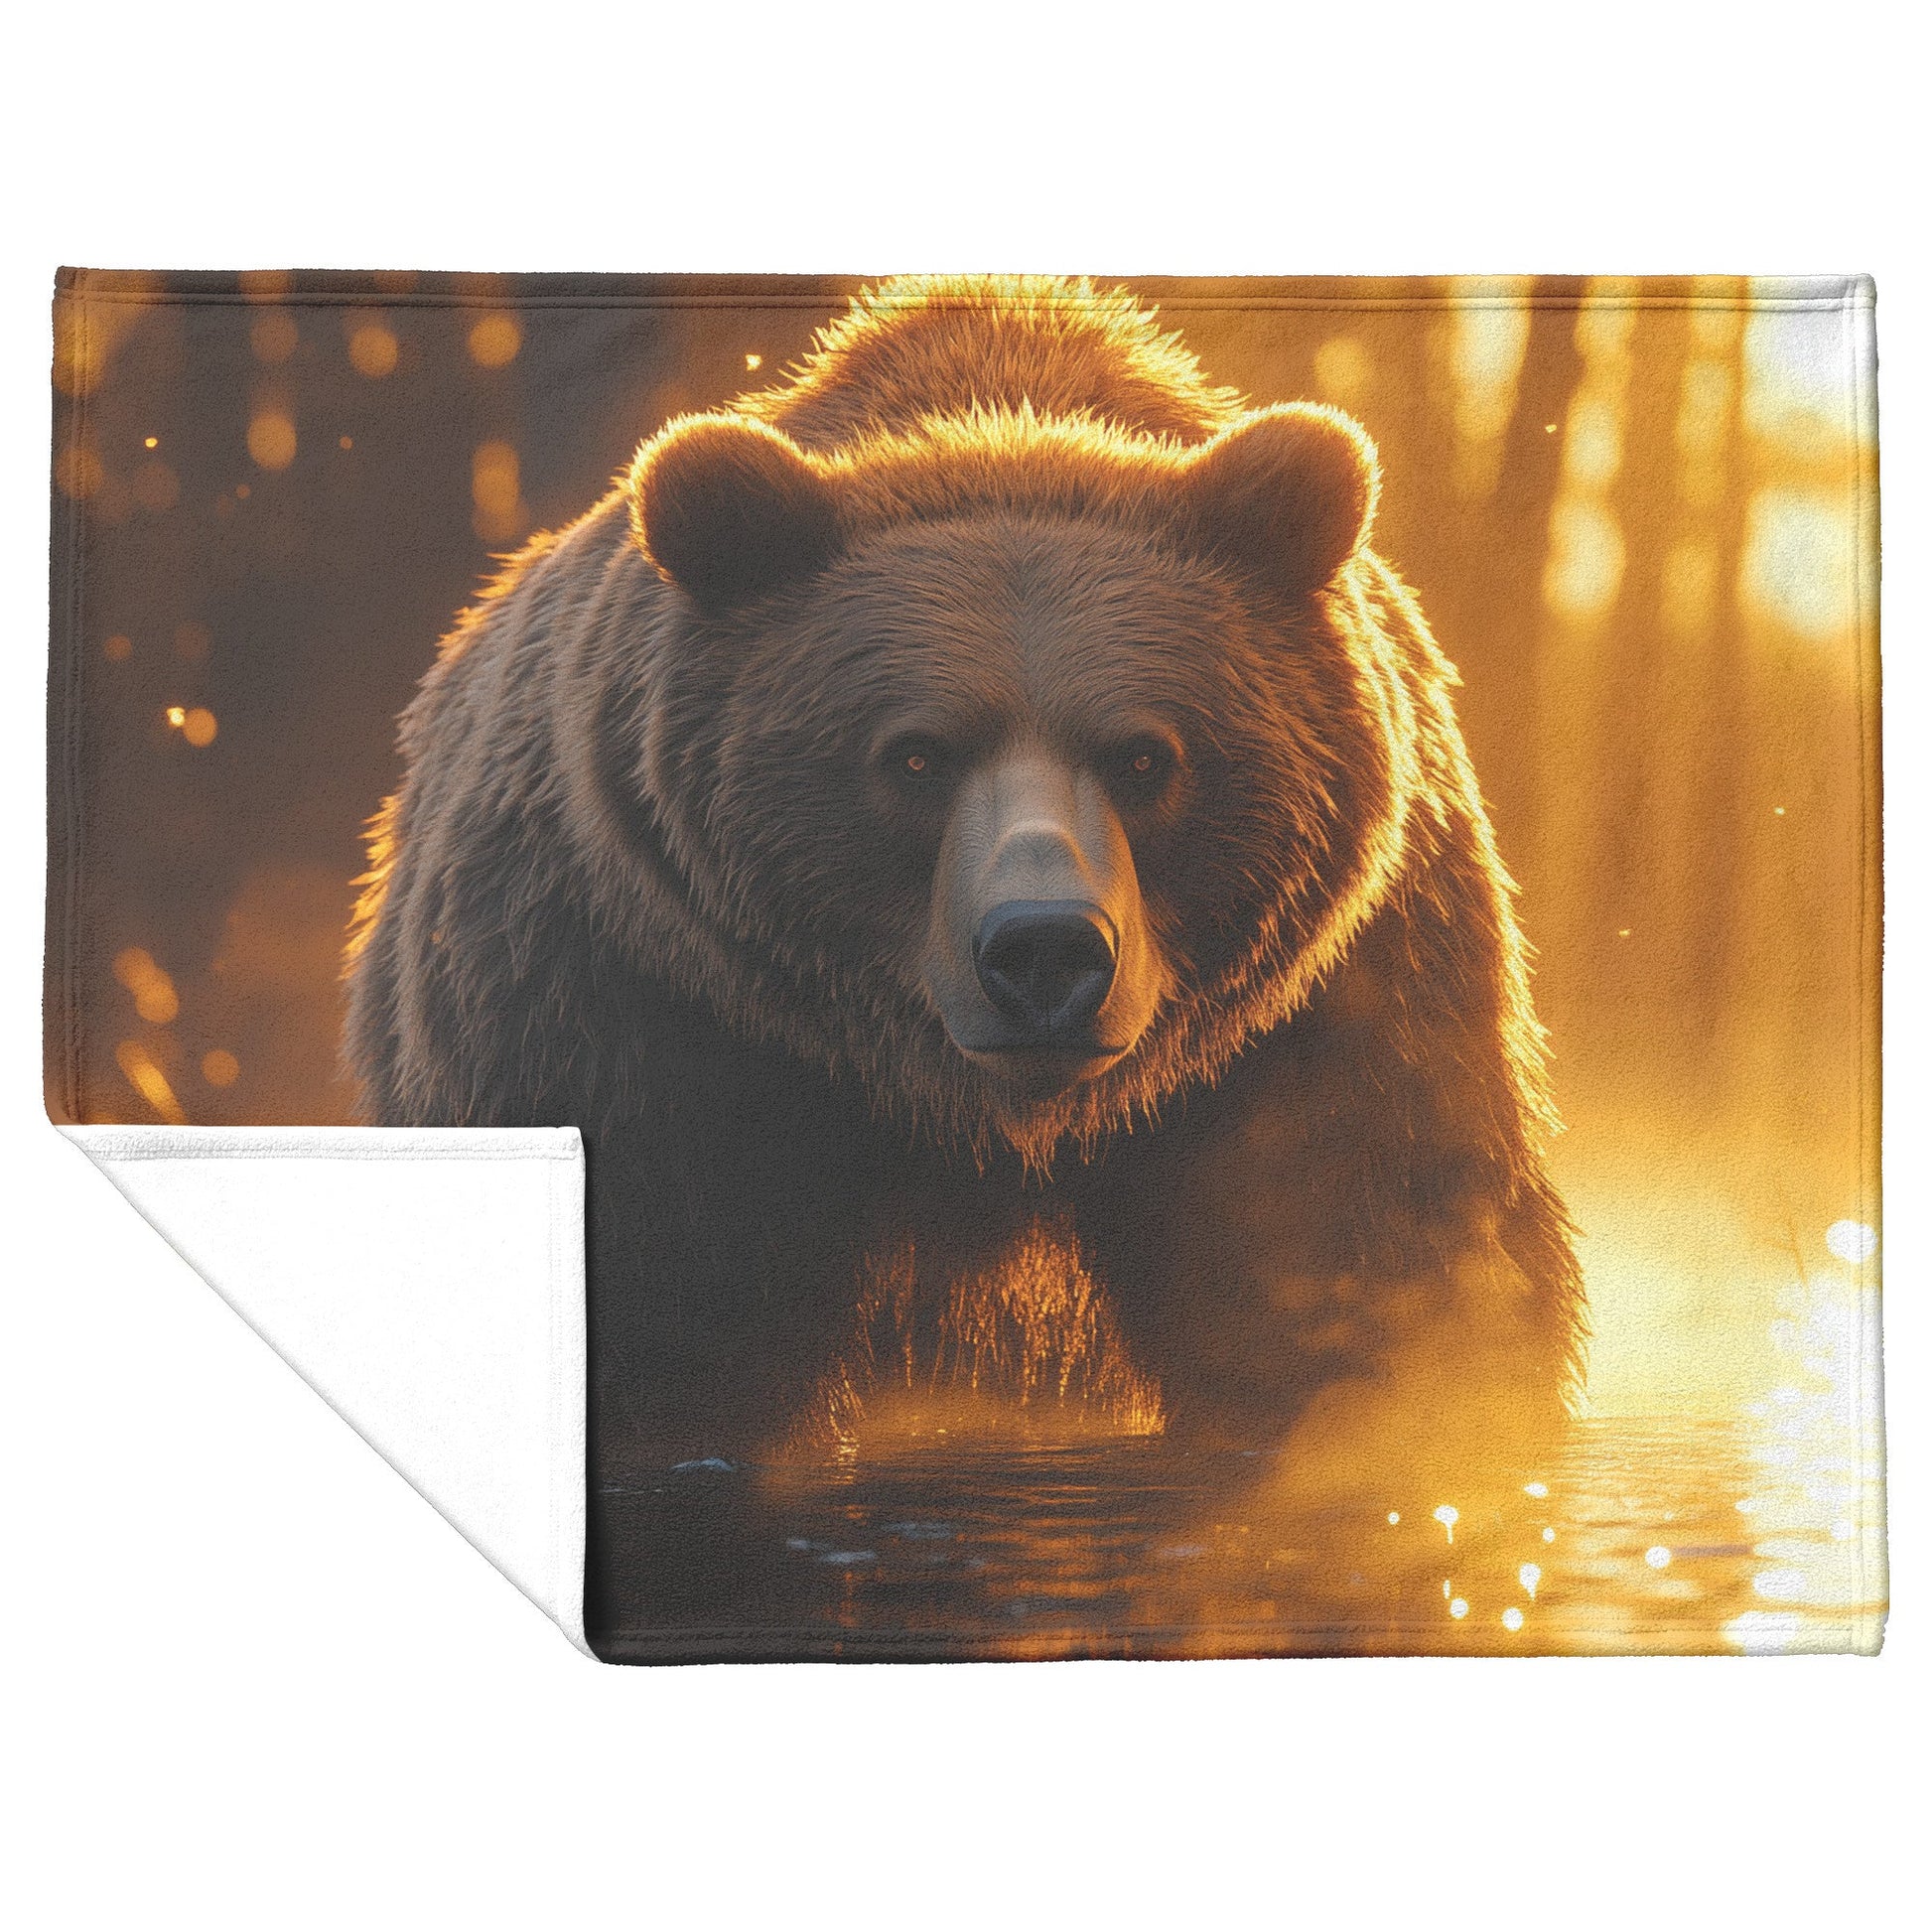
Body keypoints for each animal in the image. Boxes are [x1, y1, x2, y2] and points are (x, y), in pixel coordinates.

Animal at [344, 275, 1585, 1482]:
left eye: (1143, 756)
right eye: (914, 755)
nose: (1043, 948)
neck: (983, 1113)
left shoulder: (1326, 1008)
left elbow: (1365, 1266)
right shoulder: (642, 1003)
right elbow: (674, 1305)